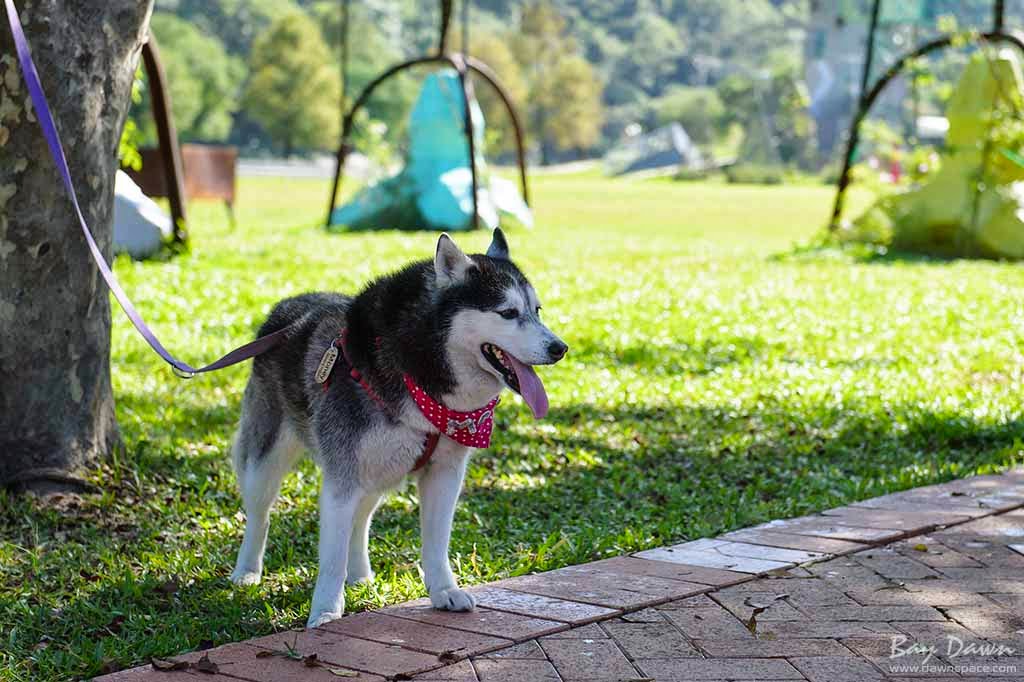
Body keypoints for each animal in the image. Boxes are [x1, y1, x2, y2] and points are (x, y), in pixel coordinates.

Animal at [228, 229, 569, 626]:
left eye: (537, 310)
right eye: (508, 313)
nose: (559, 348)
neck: (422, 377)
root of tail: (285, 308)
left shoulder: (445, 472)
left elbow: (436, 543)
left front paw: (444, 591)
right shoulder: (341, 477)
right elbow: (331, 557)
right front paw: (326, 613)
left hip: (381, 469)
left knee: (361, 519)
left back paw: (360, 575)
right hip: (265, 461)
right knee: (260, 515)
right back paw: (247, 572)